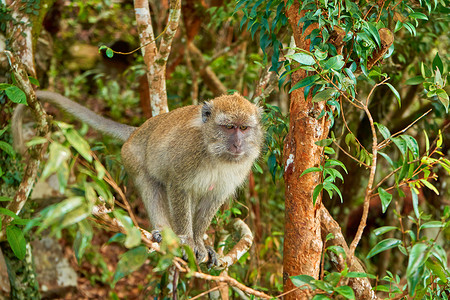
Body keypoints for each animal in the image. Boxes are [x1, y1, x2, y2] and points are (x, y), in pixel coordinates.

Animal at [13, 91, 264, 264]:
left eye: (244, 128)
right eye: (229, 127)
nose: (238, 144)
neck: (215, 152)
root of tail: (138, 130)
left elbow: (214, 198)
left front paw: (201, 240)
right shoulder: (187, 155)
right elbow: (178, 186)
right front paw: (188, 240)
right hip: (132, 157)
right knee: (151, 185)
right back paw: (164, 232)